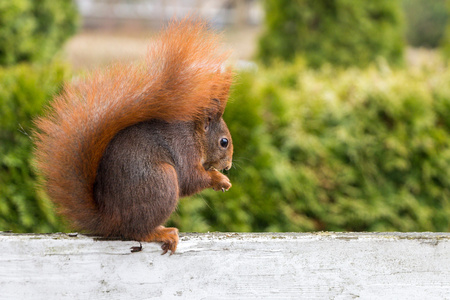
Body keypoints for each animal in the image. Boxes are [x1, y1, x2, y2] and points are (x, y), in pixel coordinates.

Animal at [33, 18, 234, 255]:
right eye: (224, 142)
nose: (228, 165)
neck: (196, 137)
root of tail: (111, 220)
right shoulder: (185, 149)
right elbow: (190, 179)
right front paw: (220, 179)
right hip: (161, 182)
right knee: (138, 232)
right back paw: (162, 232)